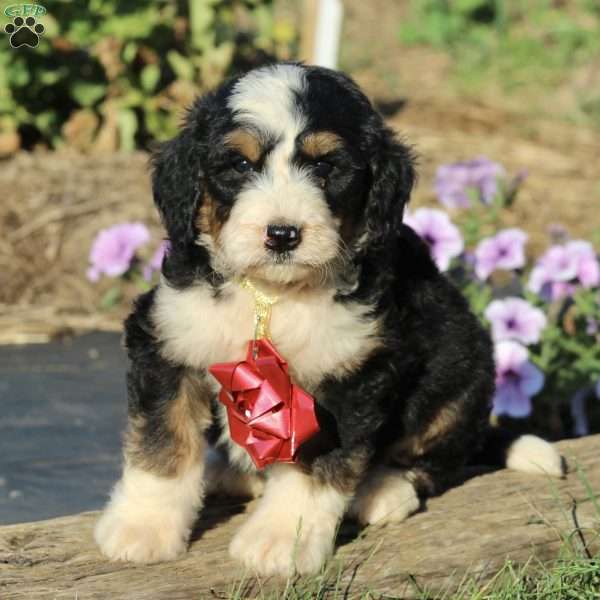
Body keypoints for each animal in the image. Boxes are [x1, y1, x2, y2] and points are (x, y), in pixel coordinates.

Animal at [95, 62, 568, 576]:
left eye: (325, 167)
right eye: (240, 165)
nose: (282, 234)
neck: (271, 295)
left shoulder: (348, 375)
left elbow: (313, 469)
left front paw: (281, 540)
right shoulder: (168, 338)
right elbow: (163, 442)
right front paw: (142, 528)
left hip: (463, 367)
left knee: (438, 456)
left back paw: (384, 490)